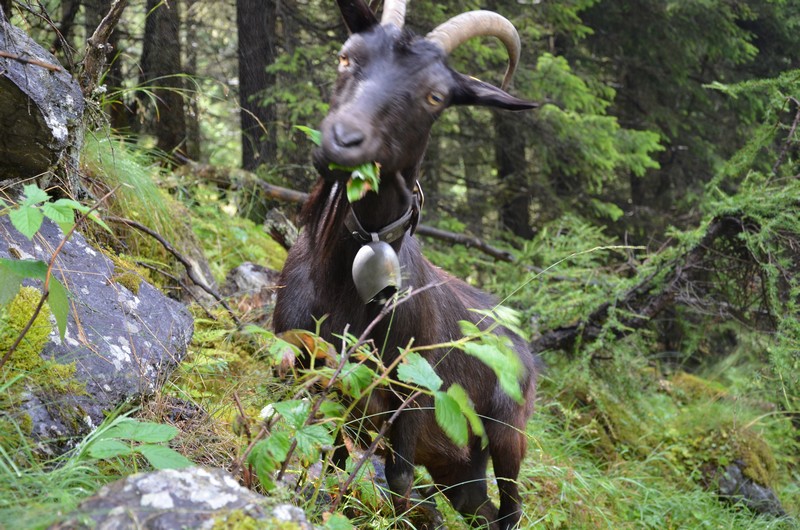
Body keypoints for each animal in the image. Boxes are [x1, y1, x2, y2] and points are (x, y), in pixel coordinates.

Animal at [272, 2, 540, 524]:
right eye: (345, 56)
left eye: (435, 96)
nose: (342, 140)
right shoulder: (307, 361)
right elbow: (326, 451)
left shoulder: (412, 389)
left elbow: (397, 476)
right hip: (460, 462)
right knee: (480, 507)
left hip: (506, 432)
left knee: (511, 509)